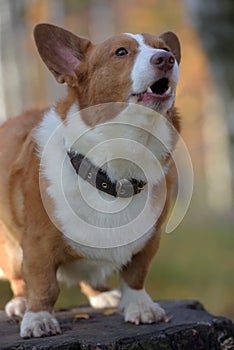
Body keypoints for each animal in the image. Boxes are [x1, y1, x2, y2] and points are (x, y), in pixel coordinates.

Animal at [0, 23, 181, 338]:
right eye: (121, 52)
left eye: (166, 49)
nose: (166, 60)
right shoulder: (36, 244)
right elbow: (43, 284)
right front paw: (38, 319)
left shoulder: (150, 239)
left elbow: (136, 274)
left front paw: (140, 307)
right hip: (9, 249)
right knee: (20, 279)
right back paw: (20, 304)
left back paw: (101, 294)